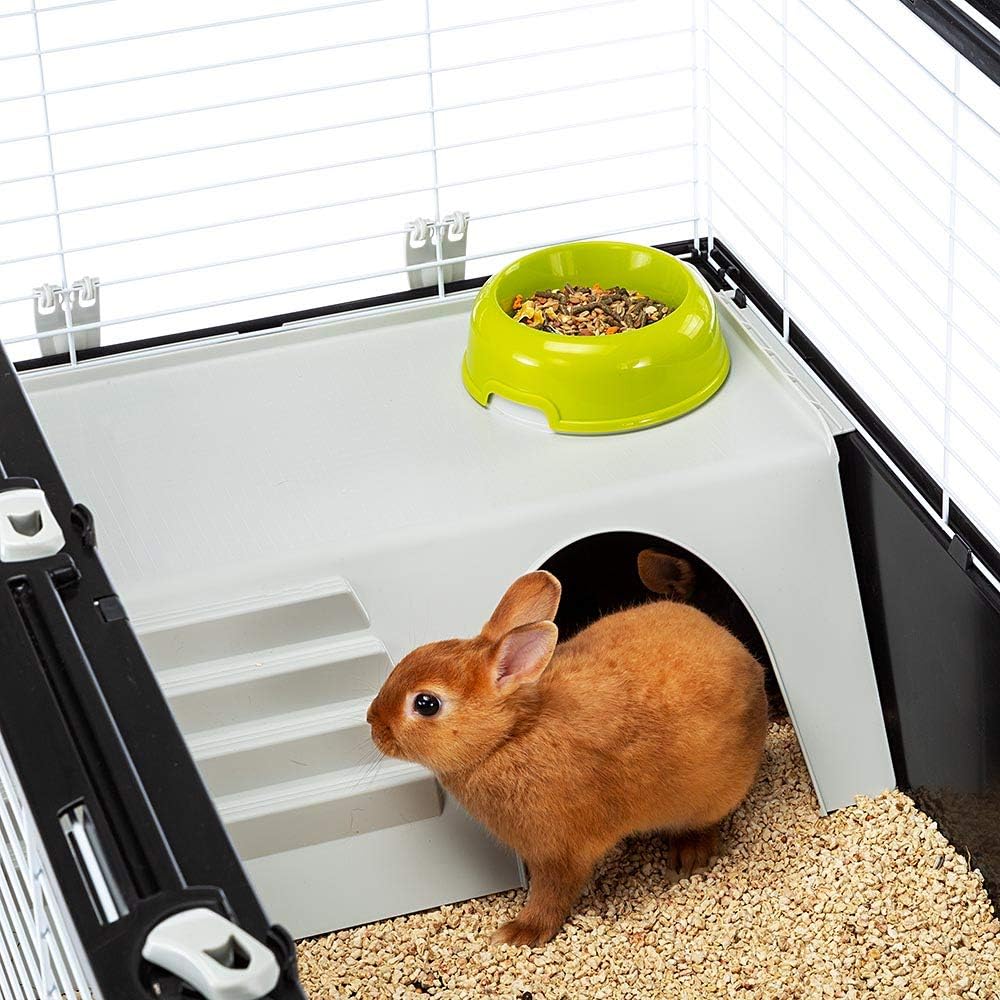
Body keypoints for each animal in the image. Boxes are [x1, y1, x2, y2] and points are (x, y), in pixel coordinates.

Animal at [366, 553, 768, 947]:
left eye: (426, 704)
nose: (372, 722)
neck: (508, 738)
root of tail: (746, 661)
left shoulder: (559, 853)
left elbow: (550, 894)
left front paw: (520, 933)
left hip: (710, 795)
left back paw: (690, 855)